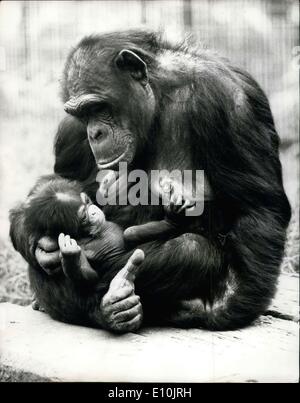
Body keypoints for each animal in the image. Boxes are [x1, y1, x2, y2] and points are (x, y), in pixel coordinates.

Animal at [9, 30, 290, 334]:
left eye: (98, 107)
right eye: (83, 114)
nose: (94, 133)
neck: (158, 99)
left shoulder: (233, 99)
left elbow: (257, 205)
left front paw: (231, 307)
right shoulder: (70, 127)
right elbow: (61, 182)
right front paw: (41, 246)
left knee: (191, 249)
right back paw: (110, 308)